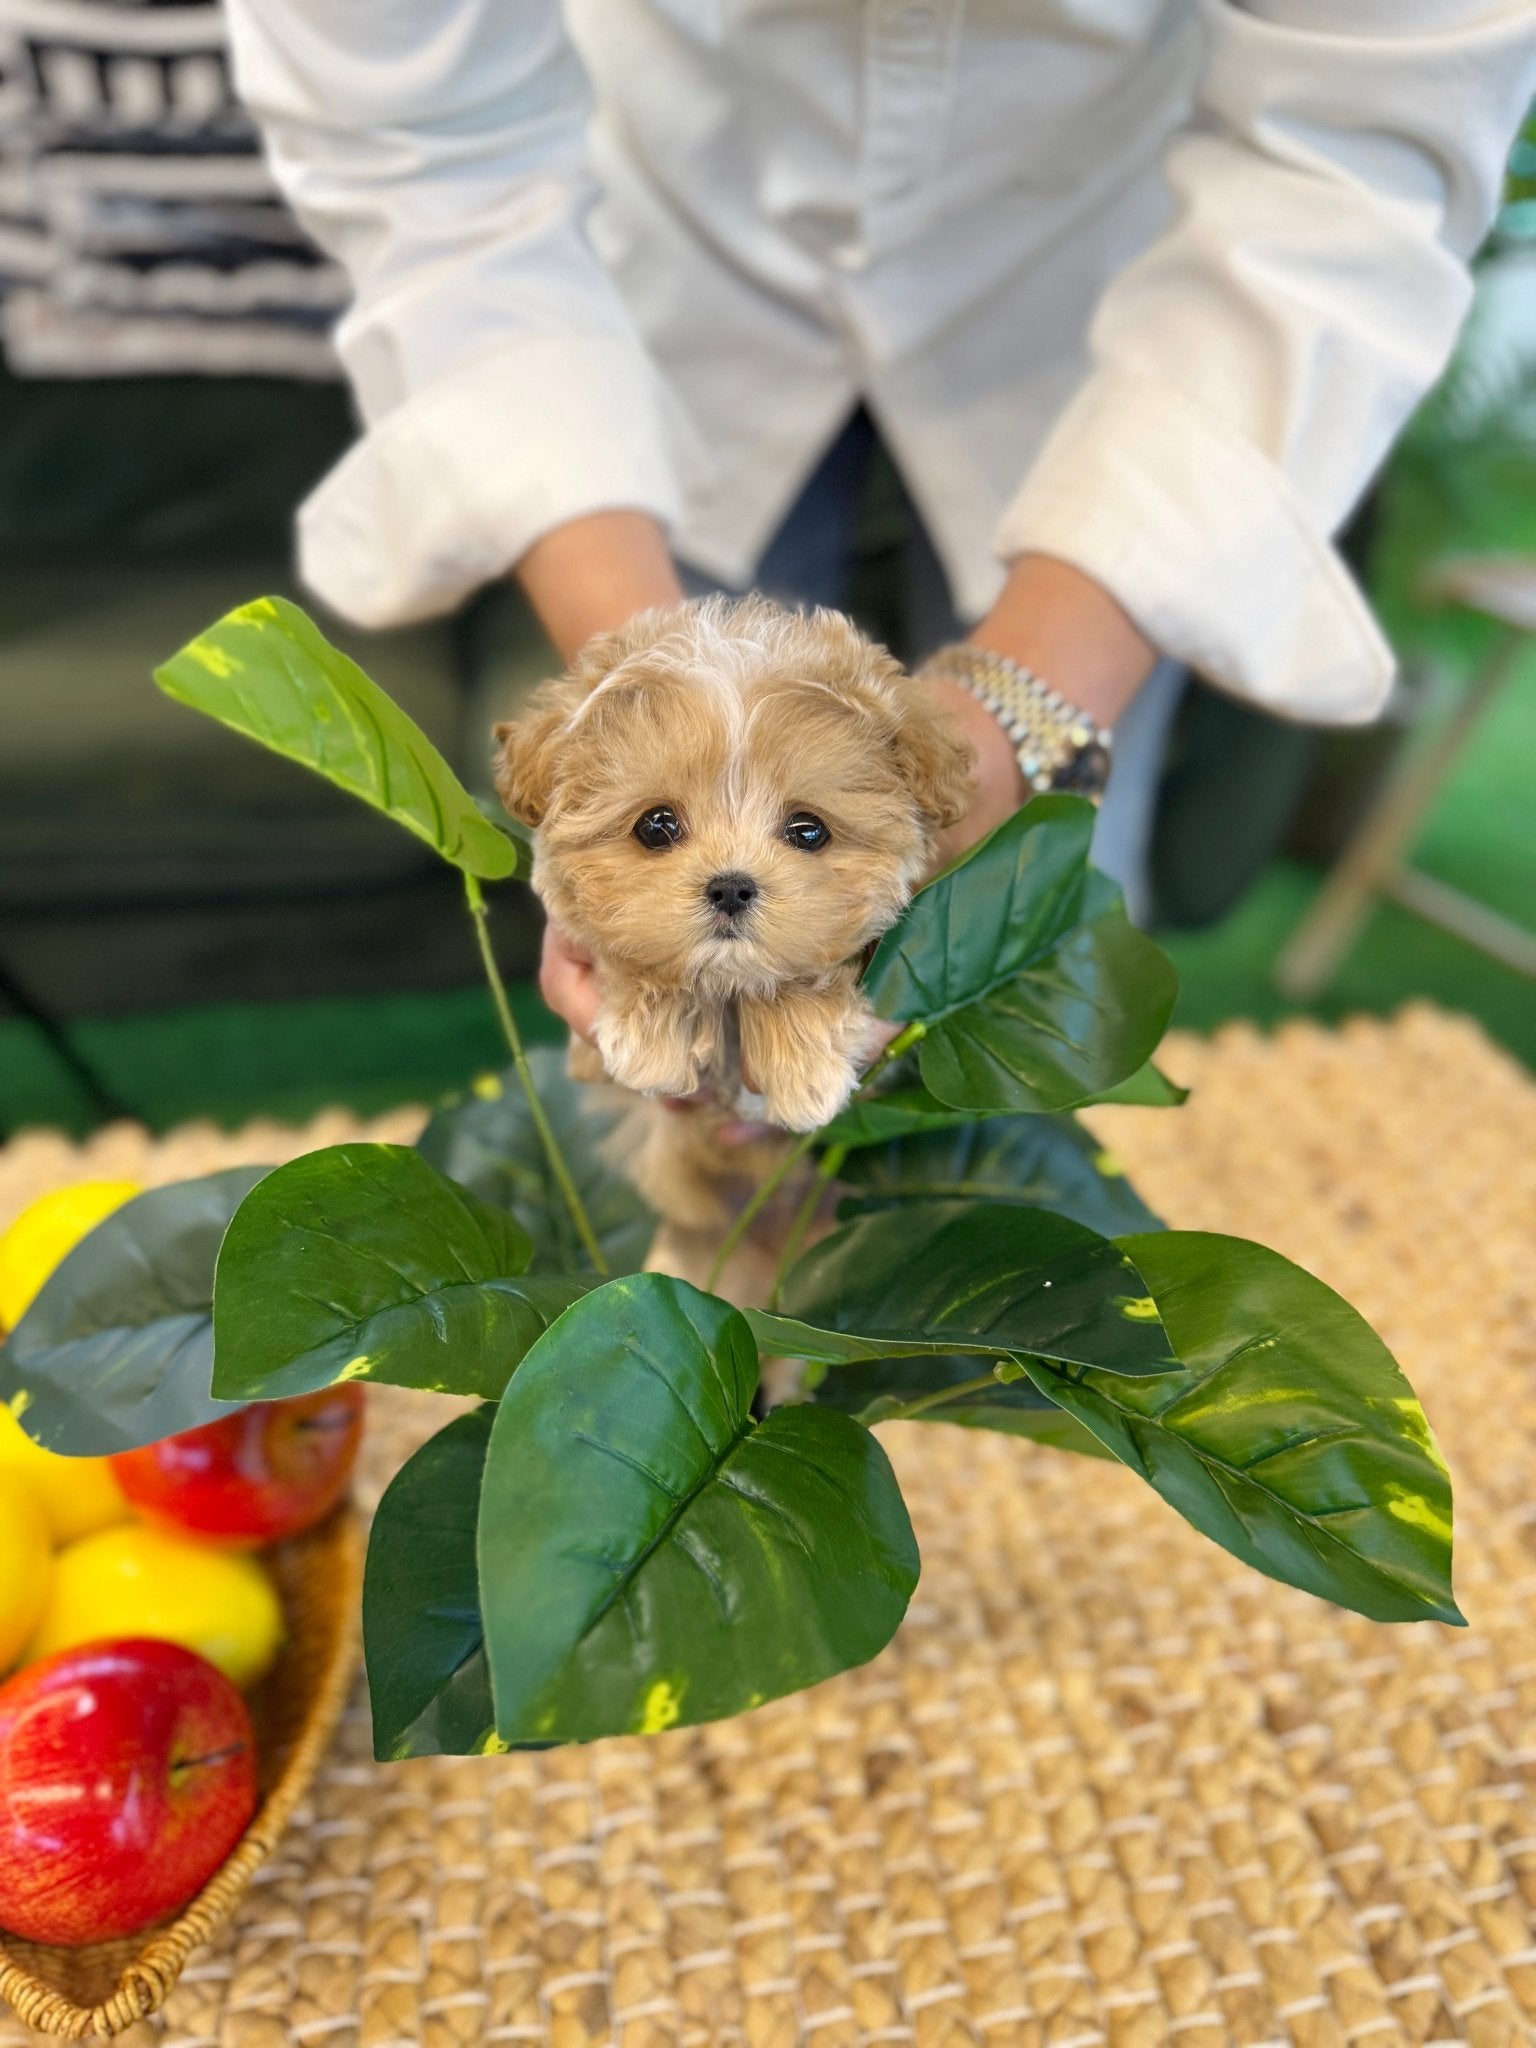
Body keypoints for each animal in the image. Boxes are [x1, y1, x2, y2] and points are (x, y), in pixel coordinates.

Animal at [495, 598, 974, 1245]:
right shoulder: (585, 1049)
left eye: (808, 831)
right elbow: (630, 953)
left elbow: (805, 969)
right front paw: (649, 1034)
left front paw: (803, 1064)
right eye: (656, 826)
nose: (730, 886)